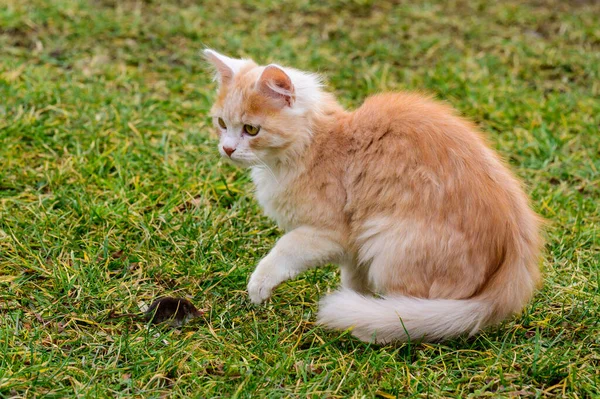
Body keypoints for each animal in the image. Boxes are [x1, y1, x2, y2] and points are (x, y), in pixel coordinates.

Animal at [204, 49, 540, 344]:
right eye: (222, 124)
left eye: (251, 129)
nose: (228, 149)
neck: (316, 143)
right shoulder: (355, 247)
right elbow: (353, 280)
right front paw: (357, 300)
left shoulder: (331, 233)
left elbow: (283, 250)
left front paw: (259, 285)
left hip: (388, 240)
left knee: (410, 315)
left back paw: (376, 327)